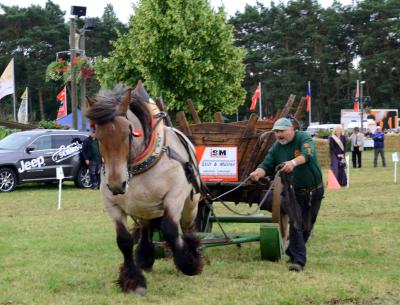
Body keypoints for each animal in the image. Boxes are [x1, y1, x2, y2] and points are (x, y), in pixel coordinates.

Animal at [85, 83, 202, 294]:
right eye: (97, 136)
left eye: (128, 133)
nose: (116, 184)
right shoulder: (112, 205)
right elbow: (123, 240)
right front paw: (133, 280)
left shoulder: (175, 196)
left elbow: (170, 230)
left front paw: (187, 264)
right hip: (144, 208)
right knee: (147, 229)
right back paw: (146, 257)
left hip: (191, 203)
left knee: (187, 227)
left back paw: (192, 252)